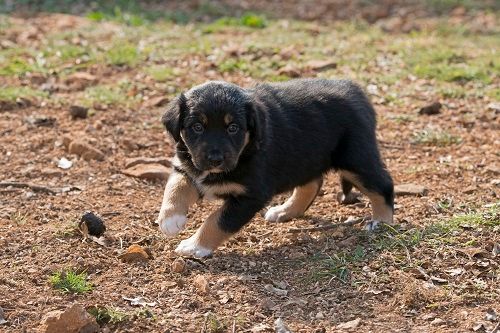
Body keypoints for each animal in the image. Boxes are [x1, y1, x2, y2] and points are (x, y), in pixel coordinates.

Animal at [156, 78, 394, 256]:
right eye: (197, 127)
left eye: (233, 128)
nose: (215, 159)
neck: (245, 151)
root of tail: (356, 91)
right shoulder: (187, 165)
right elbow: (175, 187)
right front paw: (170, 219)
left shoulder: (251, 196)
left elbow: (218, 220)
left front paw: (195, 245)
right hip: (305, 158)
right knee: (311, 183)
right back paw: (285, 211)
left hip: (355, 160)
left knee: (383, 185)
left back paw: (381, 222)